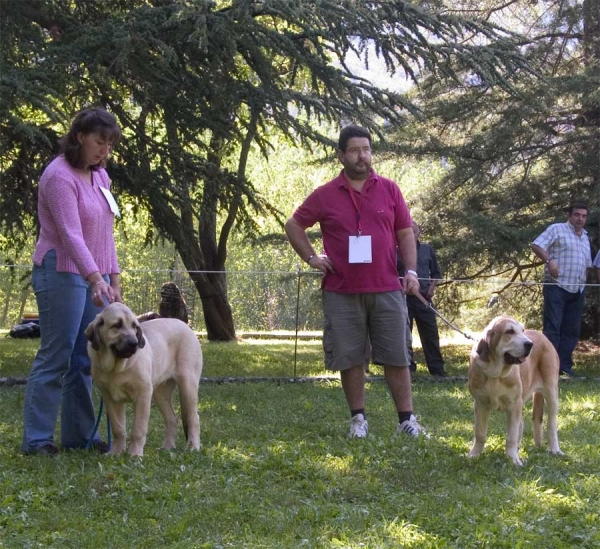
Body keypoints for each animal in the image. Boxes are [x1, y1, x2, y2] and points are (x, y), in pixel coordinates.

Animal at [84, 302, 203, 456]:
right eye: (117, 325)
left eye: (135, 326)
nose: (134, 343)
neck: (117, 368)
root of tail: (186, 326)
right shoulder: (110, 398)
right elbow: (118, 429)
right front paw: (116, 453)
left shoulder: (143, 395)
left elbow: (138, 429)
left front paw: (135, 454)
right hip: (160, 394)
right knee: (172, 419)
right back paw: (167, 447)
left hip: (188, 385)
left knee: (193, 418)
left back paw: (193, 446)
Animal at [468, 314, 564, 464]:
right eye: (509, 332)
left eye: (522, 331)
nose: (530, 344)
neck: (496, 374)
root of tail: (543, 336)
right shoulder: (480, 403)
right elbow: (480, 433)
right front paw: (474, 454)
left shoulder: (514, 404)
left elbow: (511, 436)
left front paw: (513, 459)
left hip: (551, 392)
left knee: (551, 425)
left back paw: (555, 449)